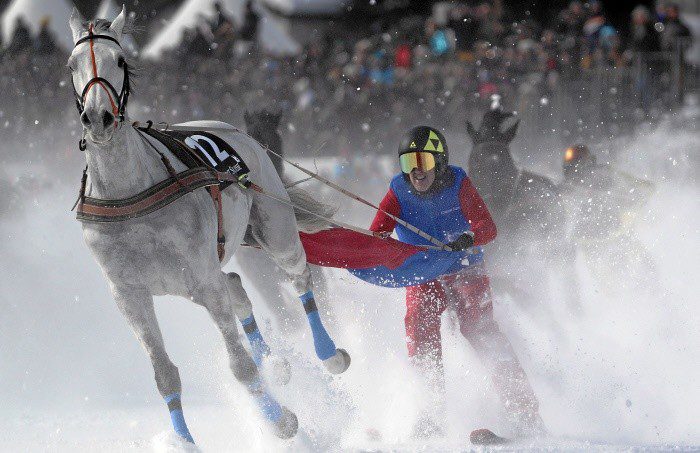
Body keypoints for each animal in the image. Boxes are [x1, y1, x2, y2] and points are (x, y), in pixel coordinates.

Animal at [67, 7, 348, 444]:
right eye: (72, 64)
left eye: (120, 60)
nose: (99, 118)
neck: (131, 193)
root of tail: (232, 128)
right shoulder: (130, 296)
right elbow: (165, 376)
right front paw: (184, 442)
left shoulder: (202, 279)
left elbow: (241, 366)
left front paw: (280, 419)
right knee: (236, 287)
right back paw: (276, 363)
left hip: (273, 229)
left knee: (298, 275)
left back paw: (329, 354)